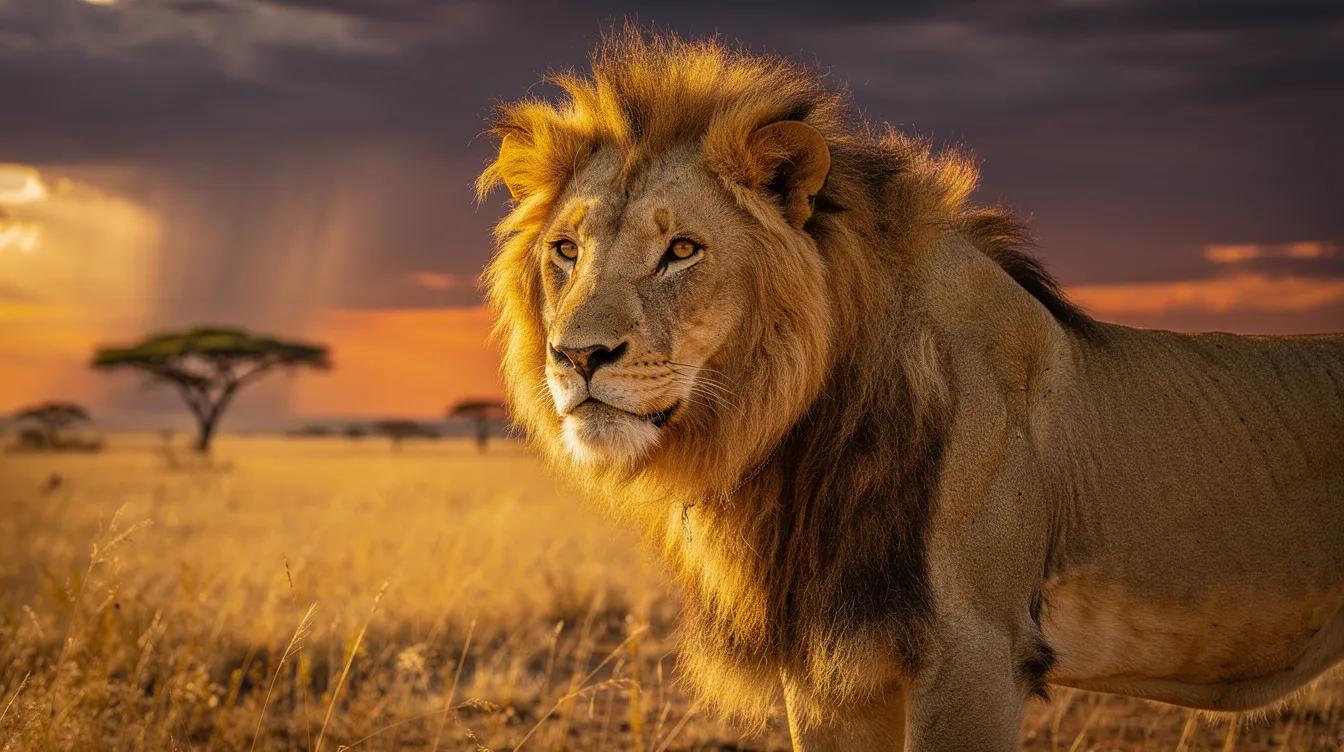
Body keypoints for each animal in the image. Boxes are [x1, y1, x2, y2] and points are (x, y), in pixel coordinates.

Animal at [477, 30, 1344, 751]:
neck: (798, 438)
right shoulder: (831, 667)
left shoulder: (977, 652)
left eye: (682, 251)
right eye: (565, 249)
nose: (577, 355)